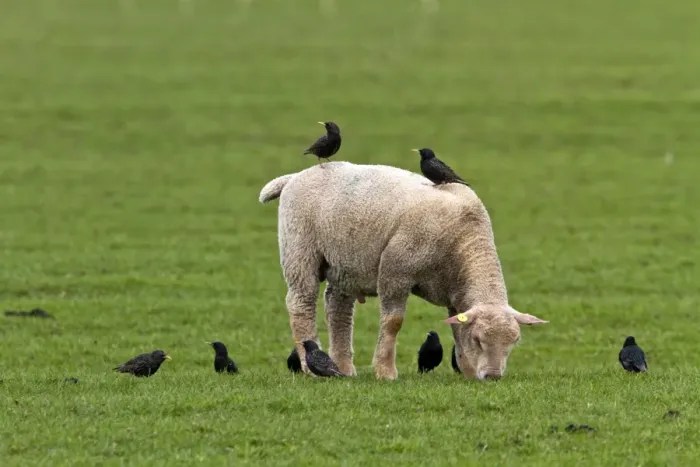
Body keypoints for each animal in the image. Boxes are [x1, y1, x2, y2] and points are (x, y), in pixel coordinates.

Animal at [259, 161, 547, 380]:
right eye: (479, 340)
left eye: (514, 343)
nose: (493, 377)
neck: (464, 240)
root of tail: (295, 176)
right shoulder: (395, 271)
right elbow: (393, 322)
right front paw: (385, 372)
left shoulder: (456, 295)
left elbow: (457, 329)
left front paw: (466, 370)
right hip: (299, 250)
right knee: (301, 303)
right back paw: (310, 367)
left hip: (344, 263)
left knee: (338, 308)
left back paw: (343, 368)